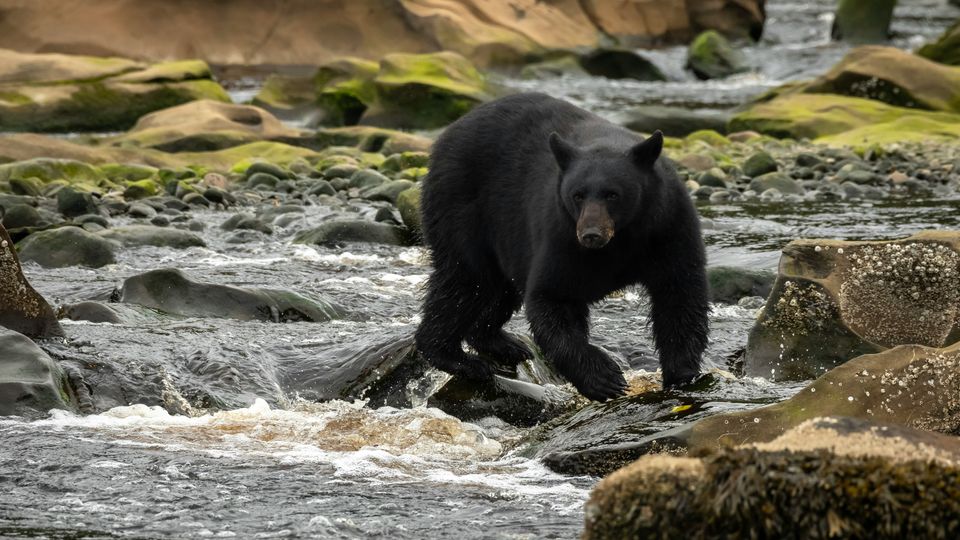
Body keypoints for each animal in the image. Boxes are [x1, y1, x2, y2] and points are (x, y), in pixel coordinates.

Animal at [414, 92, 709, 401]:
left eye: (612, 194)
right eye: (577, 195)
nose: (591, 234)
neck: (621, 239)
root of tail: (449, 131)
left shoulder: (668, 227)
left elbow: (679, 296)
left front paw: (682, 374)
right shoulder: (562, 237)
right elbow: (553, 296)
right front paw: (604, 378)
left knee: (496, 289)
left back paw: (502, 343)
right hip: (461, 208)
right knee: (465, 282)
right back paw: (458, 359)